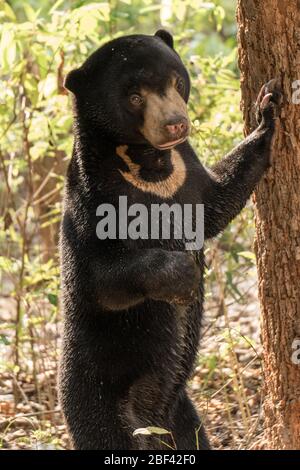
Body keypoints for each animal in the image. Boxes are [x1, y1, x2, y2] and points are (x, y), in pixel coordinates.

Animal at [59, 30, 282, 452]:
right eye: (134, 97)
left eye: (176, 81)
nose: (176, 125)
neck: (149, 163)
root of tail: (153, 416)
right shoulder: (92, 198)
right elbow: (98, 278)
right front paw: (184, 279)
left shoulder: (187, 175)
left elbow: (217, 202)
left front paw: (269, 110)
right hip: (97, 397)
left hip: (183, 414)